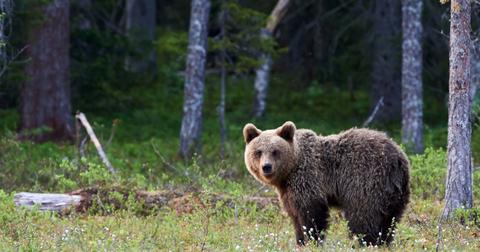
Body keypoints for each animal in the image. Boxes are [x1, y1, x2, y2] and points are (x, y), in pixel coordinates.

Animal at [244, 122, 408, 246]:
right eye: (258, 151)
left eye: (275, 151)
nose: (266, 167)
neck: (289, 171)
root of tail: (398, 158)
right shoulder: (288, 191)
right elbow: (295, 216)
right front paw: (300, 241)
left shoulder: (308, 179)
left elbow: (311, 215)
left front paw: (312, 241)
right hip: (394, 194)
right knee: (389, 221)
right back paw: (384, 242)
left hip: (366, 181)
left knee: (363, 217)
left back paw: (364, 243)